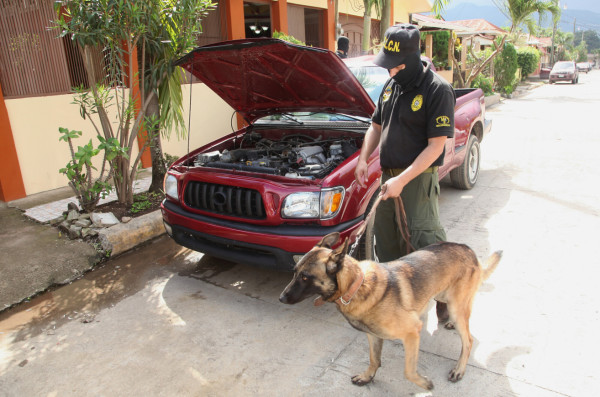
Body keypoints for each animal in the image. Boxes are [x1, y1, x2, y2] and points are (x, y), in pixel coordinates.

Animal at [278, 232, 500, 390]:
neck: (356, 286)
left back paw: (459, 369)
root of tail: (467, 248)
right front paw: (367, 377)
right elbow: (374, 360)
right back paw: (452, 322)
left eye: (305, 277)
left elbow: (408, 371)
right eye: (295, 272)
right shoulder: (373, 335)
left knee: (468, 339)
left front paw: (425, 384)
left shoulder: (412, 332)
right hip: (446, 297)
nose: (281, 298)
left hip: (455, 304)